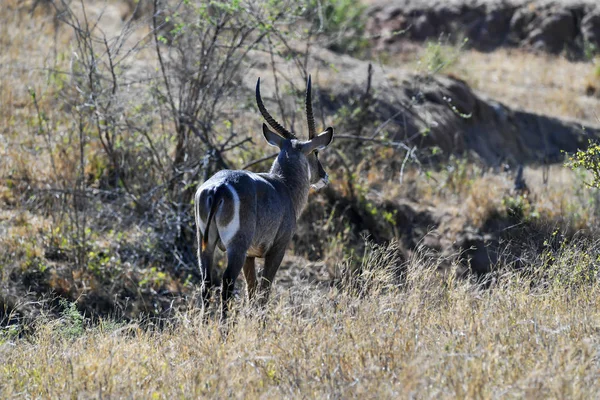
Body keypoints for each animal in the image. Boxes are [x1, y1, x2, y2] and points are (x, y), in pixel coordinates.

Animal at [196, 76, 332, 318]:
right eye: (315, 152)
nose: (324, 176)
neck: (283, 185)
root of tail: (218, 187)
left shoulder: (250, 255)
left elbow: (252, 292)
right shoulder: (277, 249)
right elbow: (264, 292)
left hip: (205, 244)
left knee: (206, 283)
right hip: (236, 247)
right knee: (227, 283)